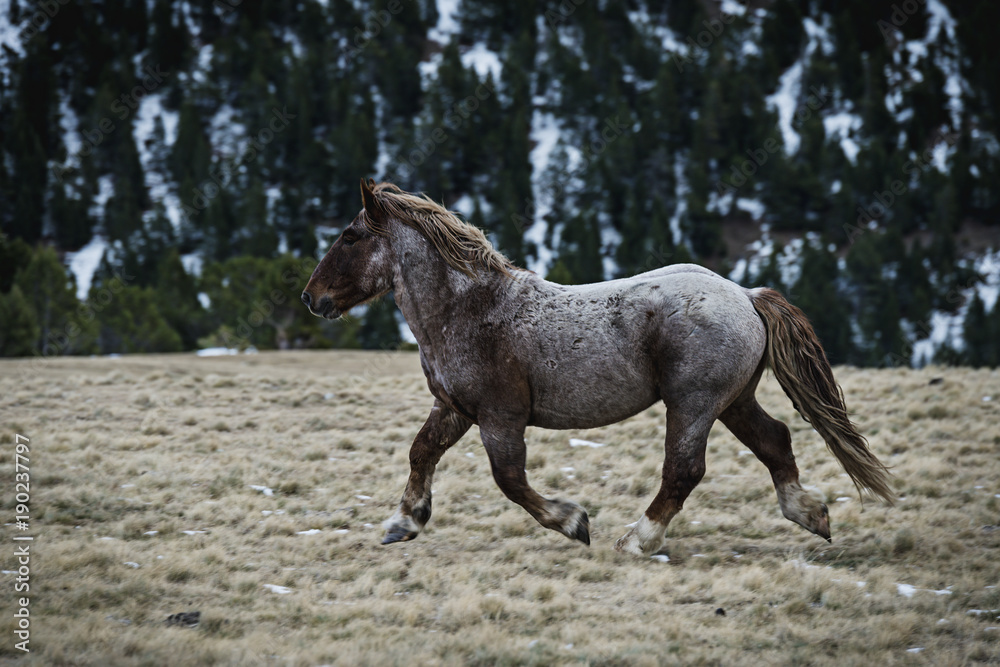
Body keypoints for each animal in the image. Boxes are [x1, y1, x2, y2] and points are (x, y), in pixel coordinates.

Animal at [301, 179, 894, 557]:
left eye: (350, 236)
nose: (312, 297)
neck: (470, 310)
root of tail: (745, 296)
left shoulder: (499, 417)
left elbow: (509, 479)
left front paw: (573, 523)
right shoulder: (454, 409)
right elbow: (421, 452)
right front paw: (403, 523)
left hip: (694, 404)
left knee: (684, 470)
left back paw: (636, 540)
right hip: (733, 401)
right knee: (775, 441)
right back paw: (811, 515)